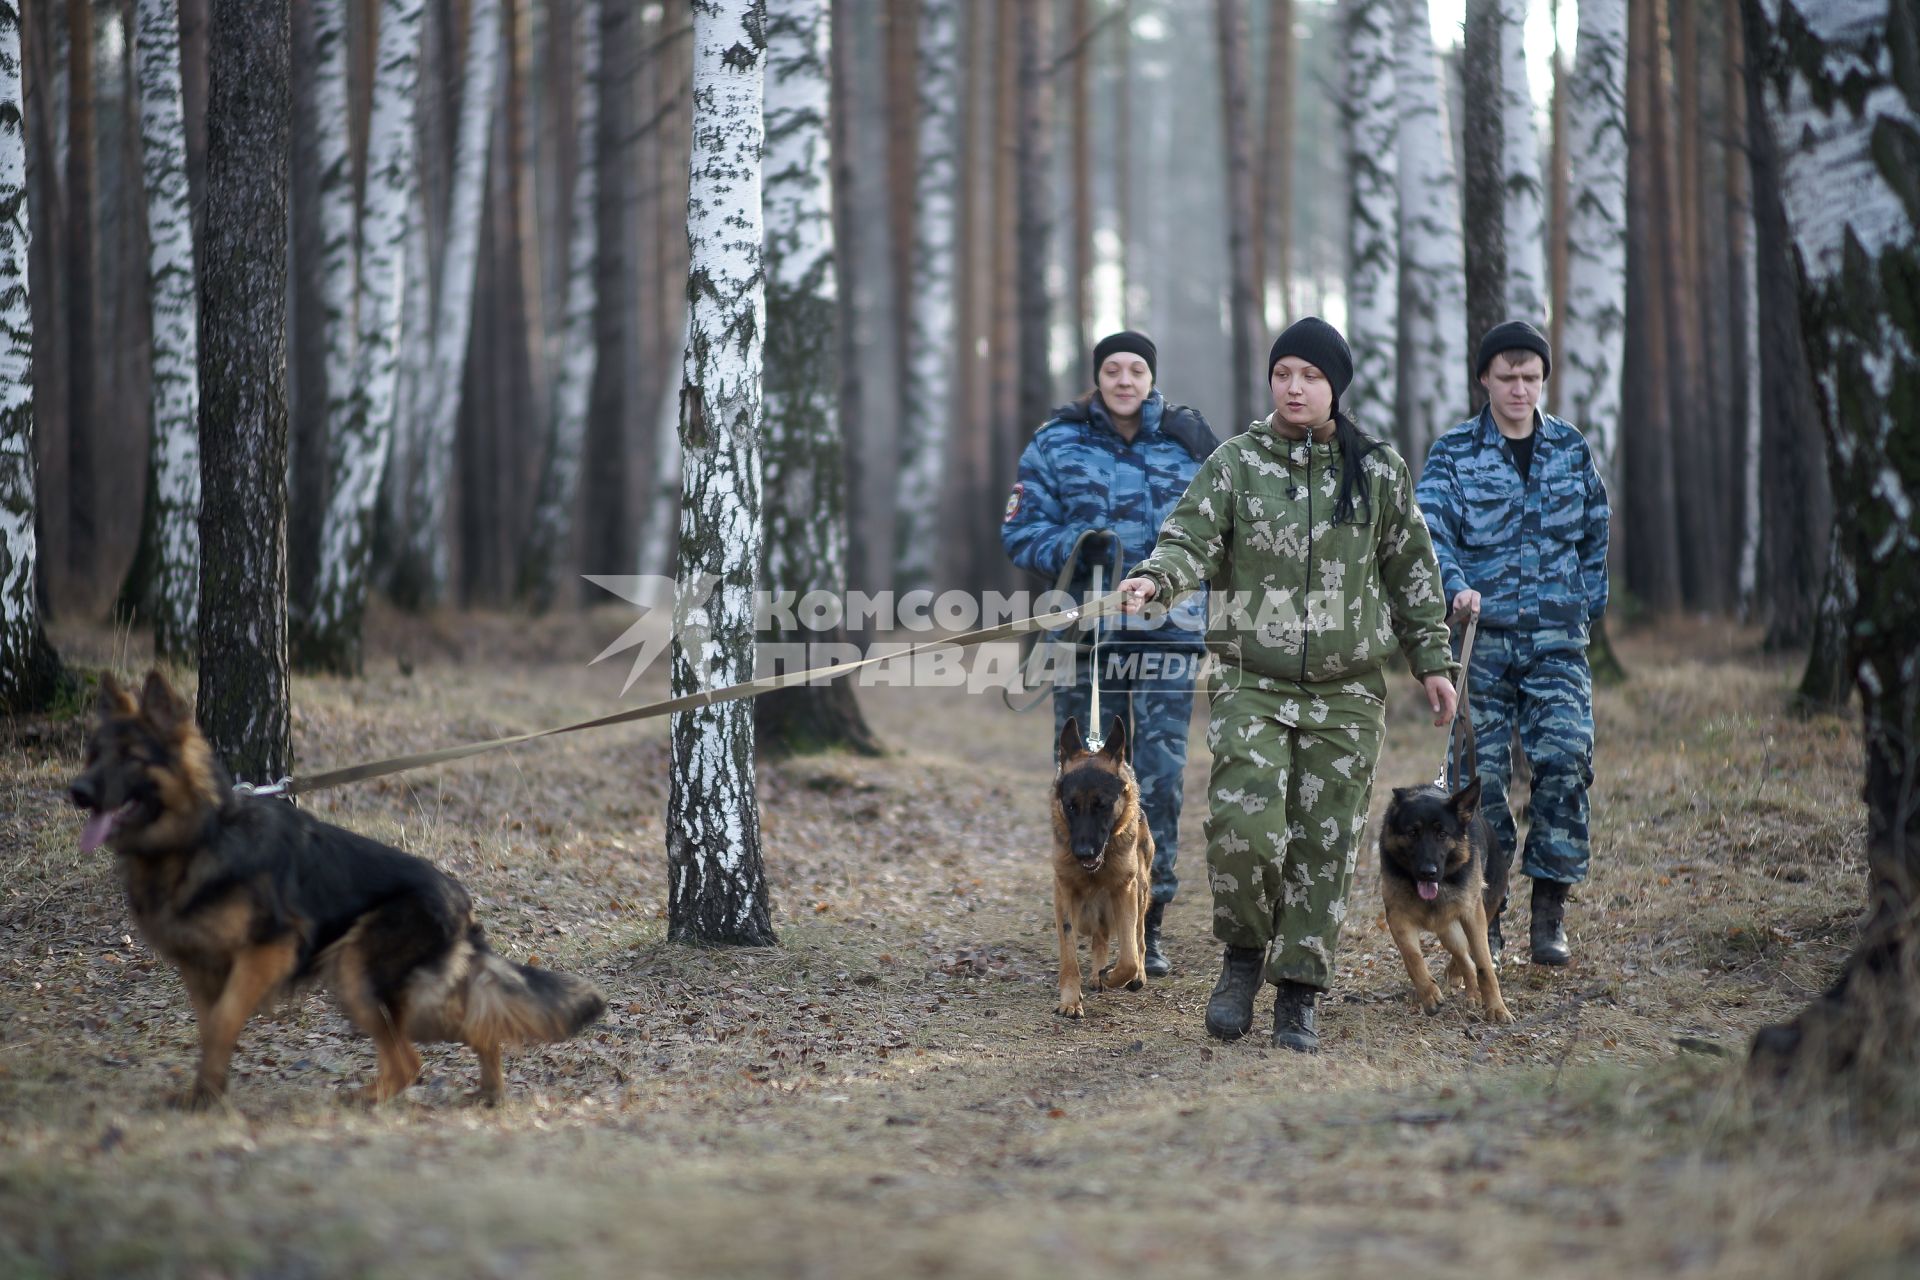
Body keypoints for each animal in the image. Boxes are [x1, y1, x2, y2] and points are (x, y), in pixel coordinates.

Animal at [71, 671, 602, 1113]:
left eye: (132, 758)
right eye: (93, 754)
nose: (75, 792)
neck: (204, 835)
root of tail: (460, 900)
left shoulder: (266, 951)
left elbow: (223, 1023)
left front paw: (207, 1099)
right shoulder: (201, 969)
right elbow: (210, 1032)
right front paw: (206, 1093)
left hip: (358, 974)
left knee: (418, 1056)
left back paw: (377, 1101)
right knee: (455, 1036)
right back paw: (479, 1091)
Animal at [1052, 721, 1152, 1020]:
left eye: (1103, 805)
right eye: (1071, 806)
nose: (1084, 853)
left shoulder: (1124, 890)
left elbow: (1129, 957)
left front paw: (1115, 975)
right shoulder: (1065, 893)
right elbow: (1069, 955)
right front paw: (1070, 1000)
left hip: (1139, 891)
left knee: (1139, 938)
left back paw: (1131, 975)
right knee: (1100, 937)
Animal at [1382, 775, 1512, 1028]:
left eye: (1442, 834)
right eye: (1412, 833)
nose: (1427, 872)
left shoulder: (1472, 915)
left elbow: (1484, 965)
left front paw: (1496, 1007)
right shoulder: (1398, 917)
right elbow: (1413, 958)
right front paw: (1429, 995)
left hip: (1479, 914)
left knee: (1471, 956)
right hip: (1447, 931)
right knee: (1465, 959)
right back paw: (1470, 991)